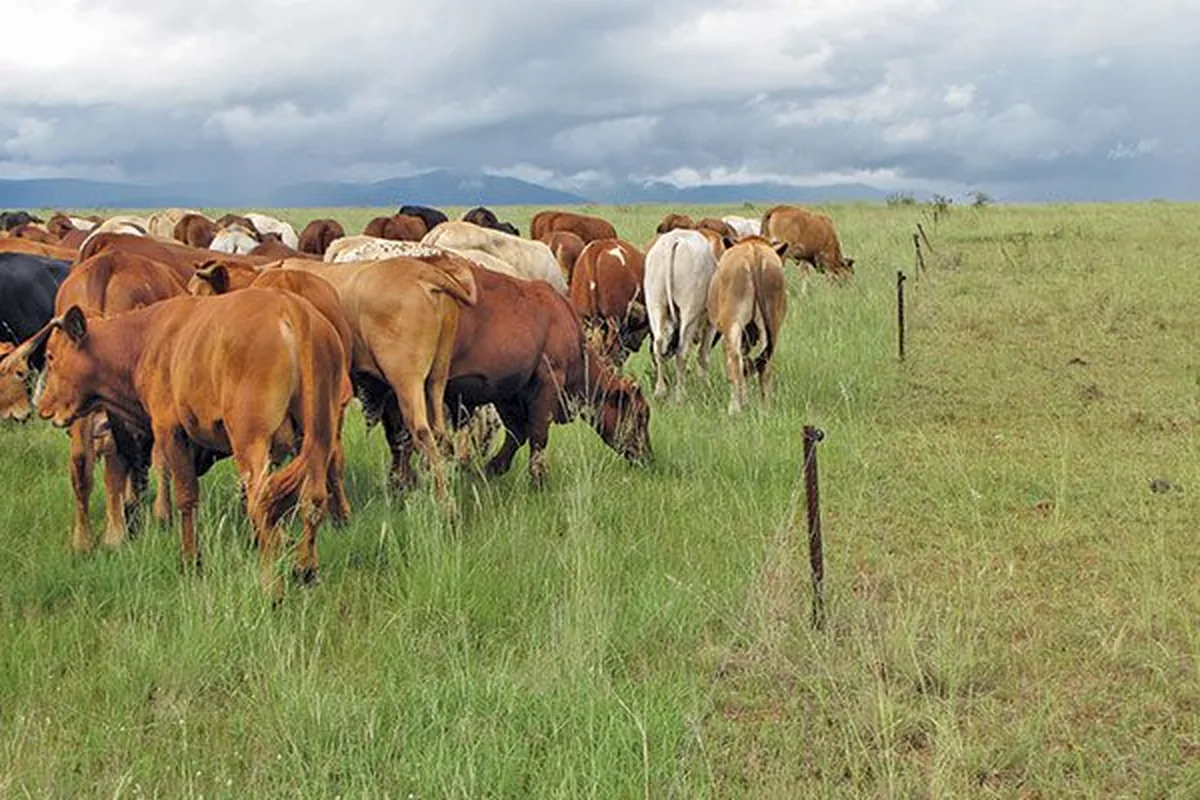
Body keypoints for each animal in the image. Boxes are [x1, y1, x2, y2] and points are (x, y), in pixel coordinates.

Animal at [30, 288, 347, 597]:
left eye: (51, 356)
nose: (42, 407)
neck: (145, 339)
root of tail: (292, 308)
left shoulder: (171, 431)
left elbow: (185, 496)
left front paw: (191, 561)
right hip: (318, 437)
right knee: (312, 499)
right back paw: (306, 571)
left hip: (251, 442)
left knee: (264, 501)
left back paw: (272, 589)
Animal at [444, 265, 652, 487]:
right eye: (641, 415)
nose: (649, 457)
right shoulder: (547, 383)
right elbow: (537, 435)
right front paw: (538, 481)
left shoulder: (508, 392)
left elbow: (517, 433)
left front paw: (488, 470)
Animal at [642, 229, 721, 400]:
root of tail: (675, 239)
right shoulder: (710, 323)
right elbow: (703, 355)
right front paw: (705, 387)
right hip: (690, 310)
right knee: (682, 351)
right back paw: (680, 394)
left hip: (655, 304)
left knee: (658, 345)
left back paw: (660, 391)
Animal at [705, 237, 789, 414]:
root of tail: (753, 252)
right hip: (770, 327)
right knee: (765, 366)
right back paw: (766, 409)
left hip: (733, 326)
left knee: (735, 363)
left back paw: (734, 408)